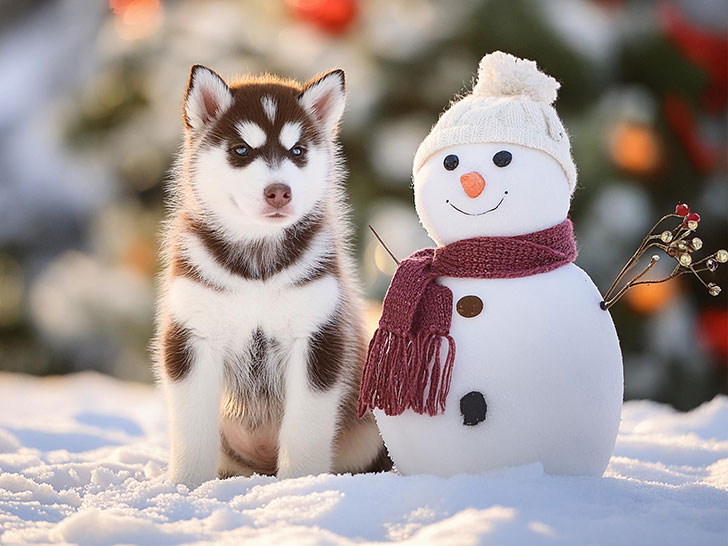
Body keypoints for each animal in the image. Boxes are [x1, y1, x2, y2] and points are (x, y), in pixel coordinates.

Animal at [155, 65, 392, 484]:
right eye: (241, 150)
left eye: (297, 151)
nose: (279, 191)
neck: (257, 264)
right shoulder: (192, 335)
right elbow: (191, 428)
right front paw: (186, 486)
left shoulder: (318, 337)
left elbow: (304, 428)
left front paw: (298, 485)